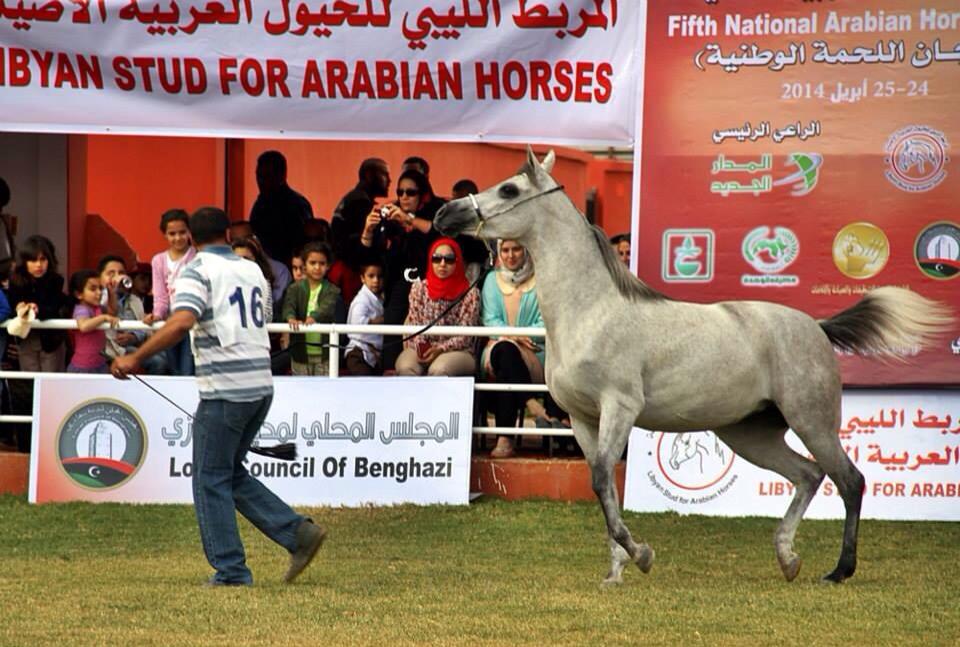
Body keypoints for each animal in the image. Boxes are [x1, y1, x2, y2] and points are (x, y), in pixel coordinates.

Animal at [434, 147, 953, 585]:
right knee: (808, 475)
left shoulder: (620, 408)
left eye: (508, 189)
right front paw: (616, 573)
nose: (444, 214)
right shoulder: (583, 419)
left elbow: (602, 478)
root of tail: (818, 327)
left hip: (812, 421)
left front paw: (641, 556)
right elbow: (602, 488)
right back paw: (788, 559)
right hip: (750, 433)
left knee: (849, 480)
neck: (593, 310)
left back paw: (839, 571)